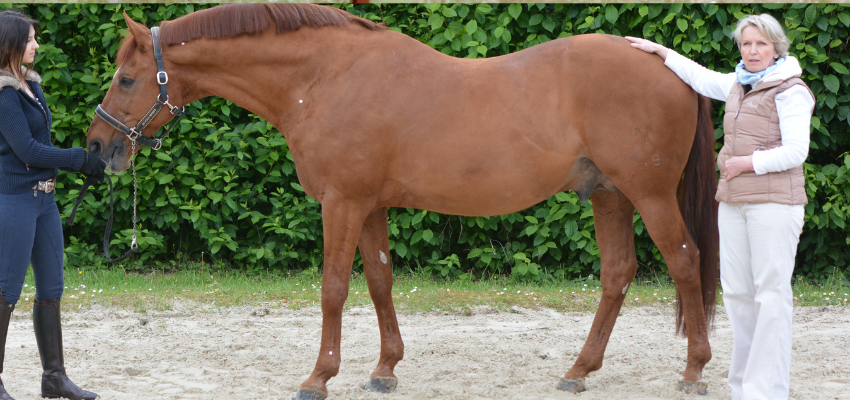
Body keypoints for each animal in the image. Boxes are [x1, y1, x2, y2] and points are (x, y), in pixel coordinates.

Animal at [86, 3, 716, 400]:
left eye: (125, 78)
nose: (98, 147)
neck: (324, 77)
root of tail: (670, 65)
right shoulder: (370, 205)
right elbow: (380, 280)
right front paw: (385, 369)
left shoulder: (341, 202)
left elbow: (334, 288)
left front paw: (318, 378)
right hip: (609, 195)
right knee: (617, 274)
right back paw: (579, 370)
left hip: (649, 195)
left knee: (685, 263)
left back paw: (693, 371)